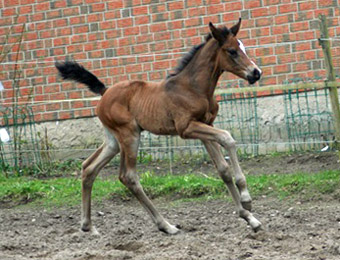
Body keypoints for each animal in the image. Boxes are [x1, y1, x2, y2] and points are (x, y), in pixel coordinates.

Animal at [55, 19, 262, 236]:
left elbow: (223, 169)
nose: (256, 73)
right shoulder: (187, 128)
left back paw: (88, 225)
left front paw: (250, 218)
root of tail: (105, 92)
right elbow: (228, 138)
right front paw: (246, 199)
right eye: (232, 51)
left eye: (243, 47)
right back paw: (166, 225)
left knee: (89, 168)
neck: (193, 88)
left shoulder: (205, 125)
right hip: (129, 135)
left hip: (114, 141)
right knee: (128, 176)